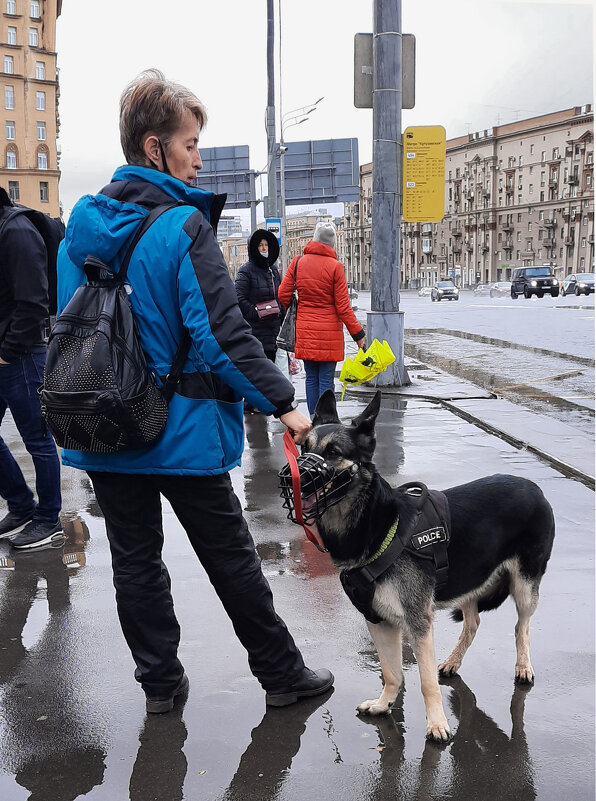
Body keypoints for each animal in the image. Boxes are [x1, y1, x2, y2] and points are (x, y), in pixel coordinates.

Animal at [302, 390, 556, 740]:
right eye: (303, 447)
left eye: (333, 453)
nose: (298, 477)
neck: (377, 524)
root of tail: (534, 487)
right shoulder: (379, 620)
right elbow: (392, 672)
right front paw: (384, 704)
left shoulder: (418, 623)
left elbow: (424, 681)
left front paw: (436, 723)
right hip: (469, 578)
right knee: (473, 622)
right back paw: (453, 662)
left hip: (524, 586)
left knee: (521, 626)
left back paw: (523, 667)